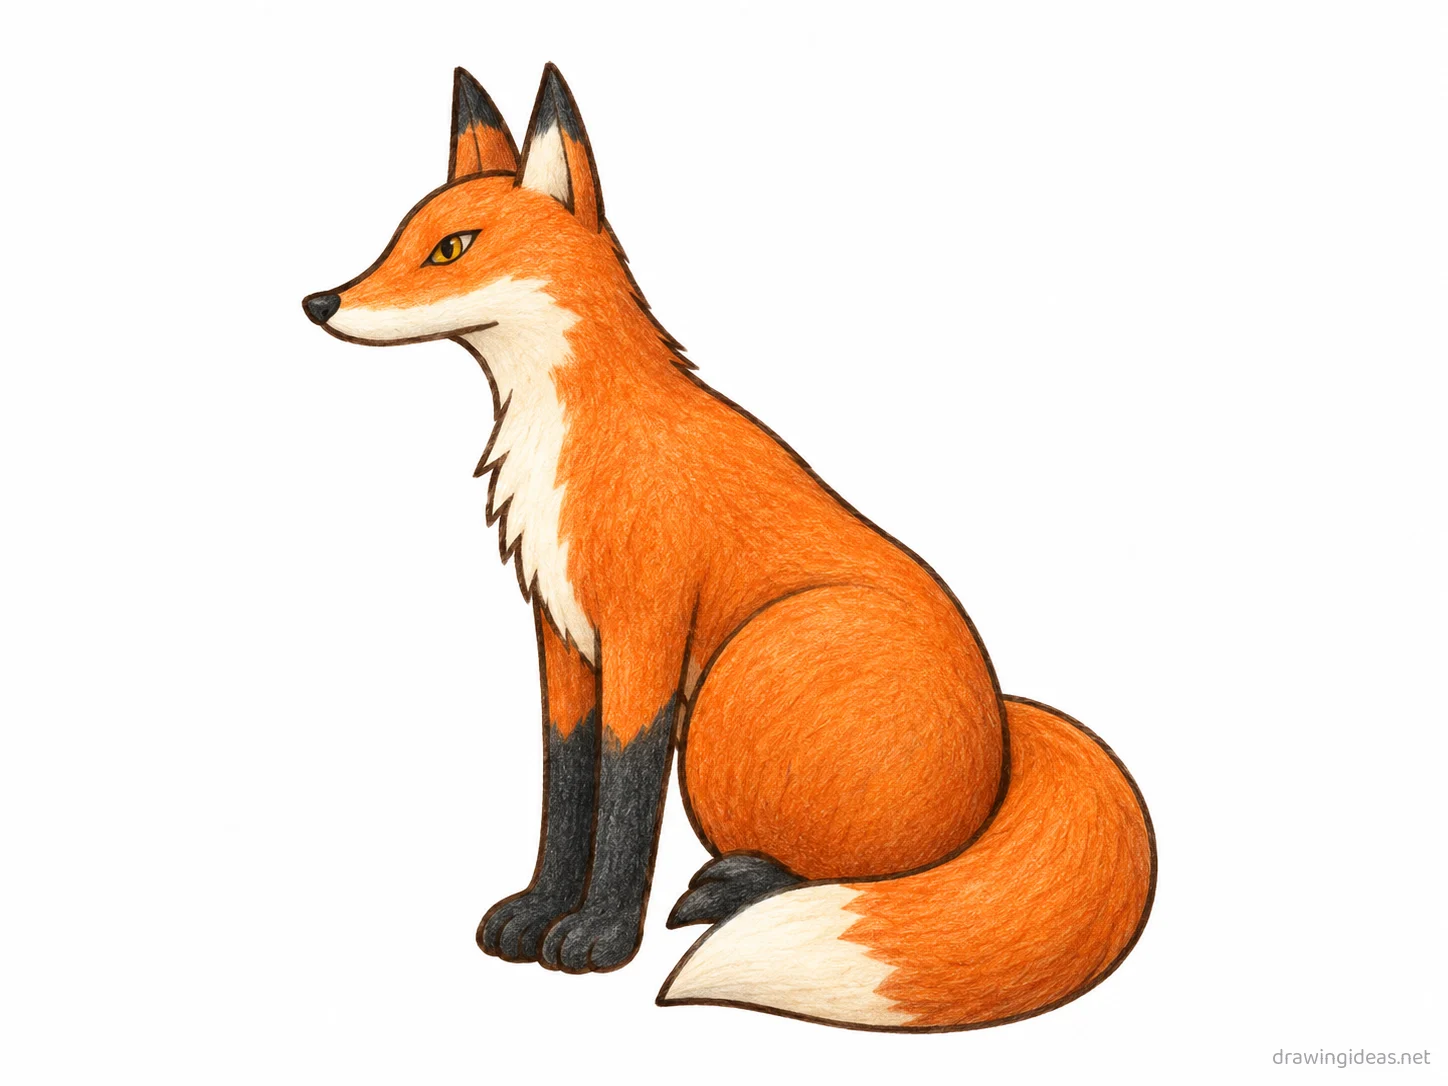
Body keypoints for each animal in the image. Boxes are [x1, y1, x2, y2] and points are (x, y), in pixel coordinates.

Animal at [301, 64, 1156, 1031]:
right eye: (399, 238)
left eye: (451, 249)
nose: (320, 302)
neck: (573, 436)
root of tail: (1006, 743)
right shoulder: (564, 639)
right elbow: (567, 785)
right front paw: (538, 909)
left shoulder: (646, 633)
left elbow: (625, 796)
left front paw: (601, 938)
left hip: (744, 675)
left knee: (854, 873)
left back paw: (731, 889)